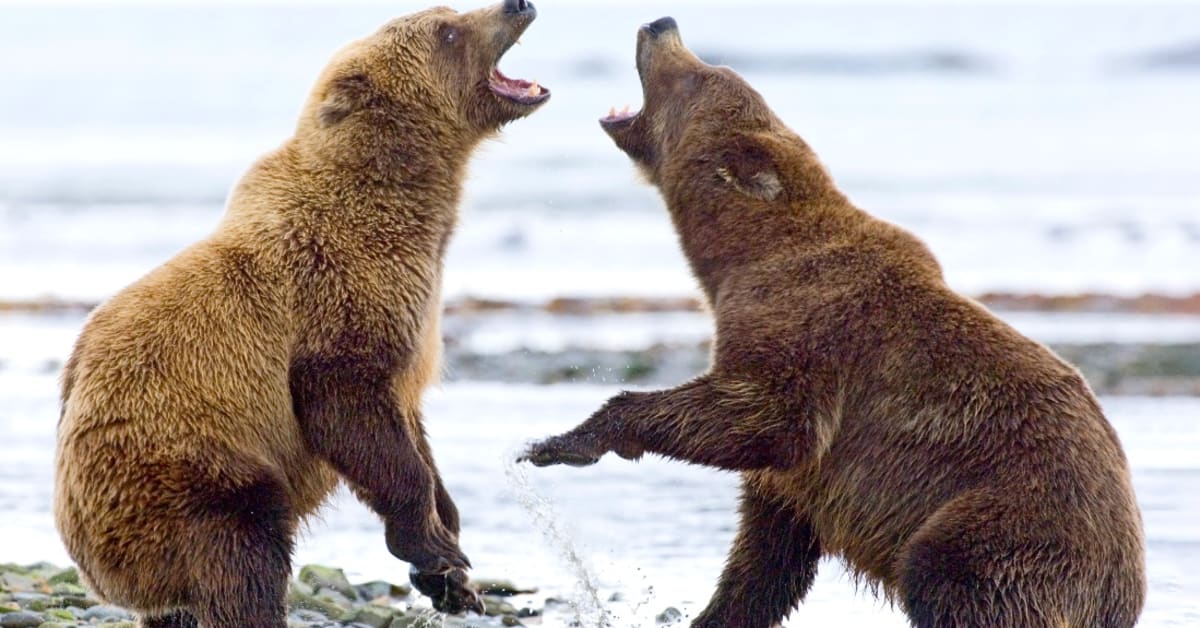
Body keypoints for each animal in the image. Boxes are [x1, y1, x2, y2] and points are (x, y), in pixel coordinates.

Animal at [54, 1, 549, 626]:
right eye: (449, 31)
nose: (517, 3)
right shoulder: (335, 294)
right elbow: (348, 408)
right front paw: (435, 547)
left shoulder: (413, 318)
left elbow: (411, 425)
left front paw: (451, 568)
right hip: (182, 472)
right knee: (243, 548)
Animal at [521, 17, 1145, 628]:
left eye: (701, 75)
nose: (660, 22)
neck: (737, 255)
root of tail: (1121, 589)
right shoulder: (803, 479)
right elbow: (769, 544)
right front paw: (718, 613)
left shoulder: (809, 330)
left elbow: (766, 419)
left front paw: (561, 441)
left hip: (1006, 521)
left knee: (957, 578)